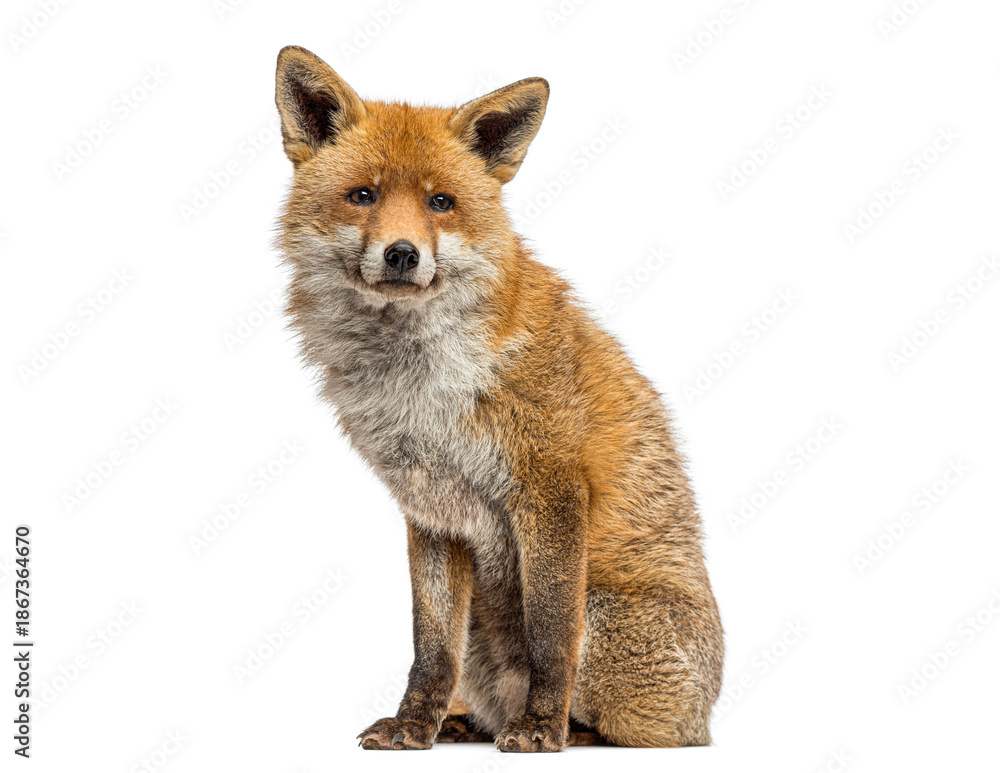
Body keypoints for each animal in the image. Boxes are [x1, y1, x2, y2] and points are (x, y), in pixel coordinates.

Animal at [273, 45, 724, 752]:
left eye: (441, 202)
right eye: (363, 196)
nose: (401, 254)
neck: (421, 385)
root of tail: (708, 711)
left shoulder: (550, 484)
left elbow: (551, 635)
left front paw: (541, 728)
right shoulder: (431, 510)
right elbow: (431, 647)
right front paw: (415, 725)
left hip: (606, 617)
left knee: (641, 730)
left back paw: (569, 730)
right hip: (484, 631)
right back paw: (464, 723)